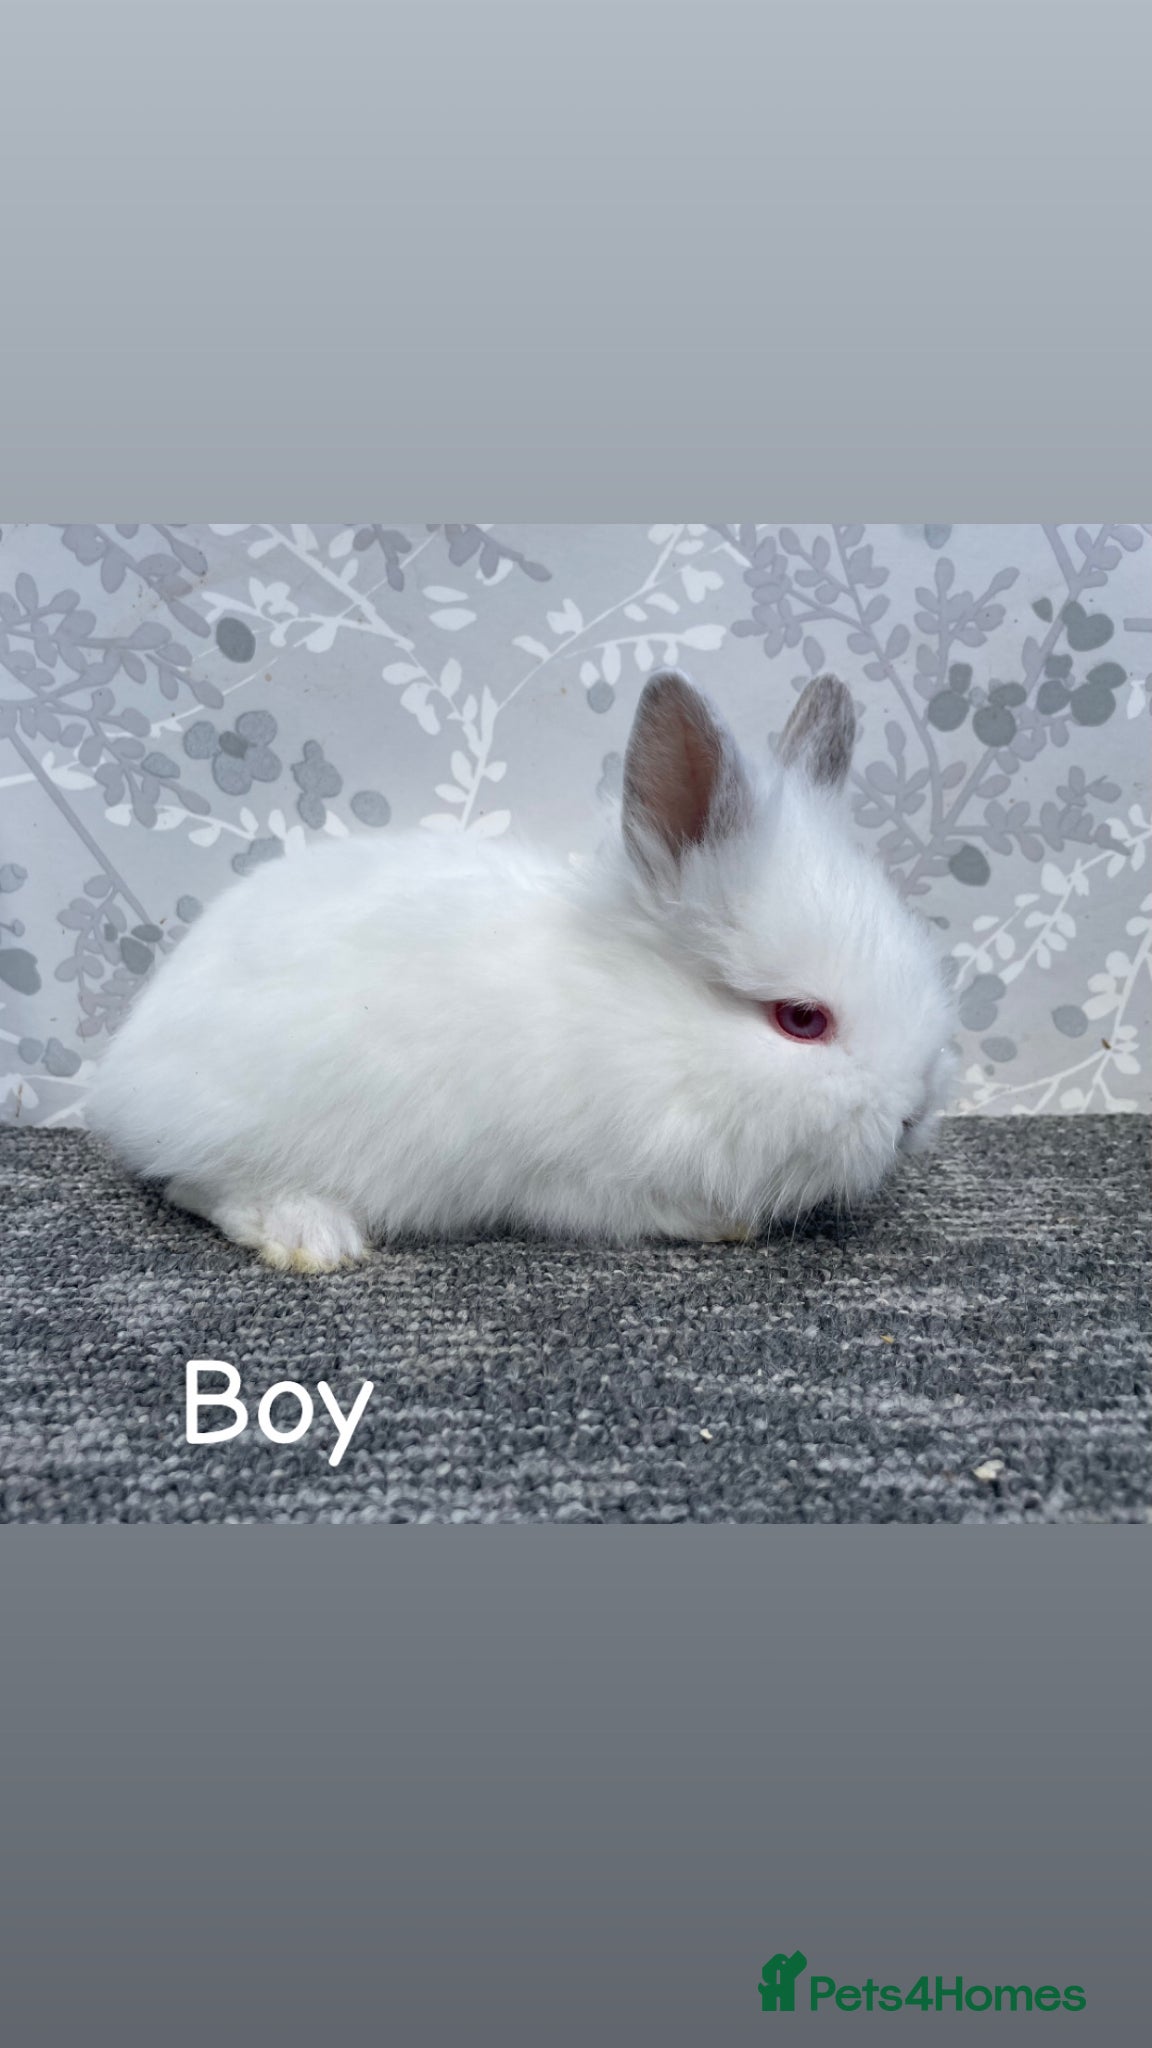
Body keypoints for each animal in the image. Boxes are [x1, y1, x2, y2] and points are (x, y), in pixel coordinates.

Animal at [86, 670, 958, 1270]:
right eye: (800, 1019)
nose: (913, 1116)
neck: (650, 1028)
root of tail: (129, 1071)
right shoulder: (580, 1178)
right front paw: (724, 1222)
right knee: (196, 1185)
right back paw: (313, 1234)